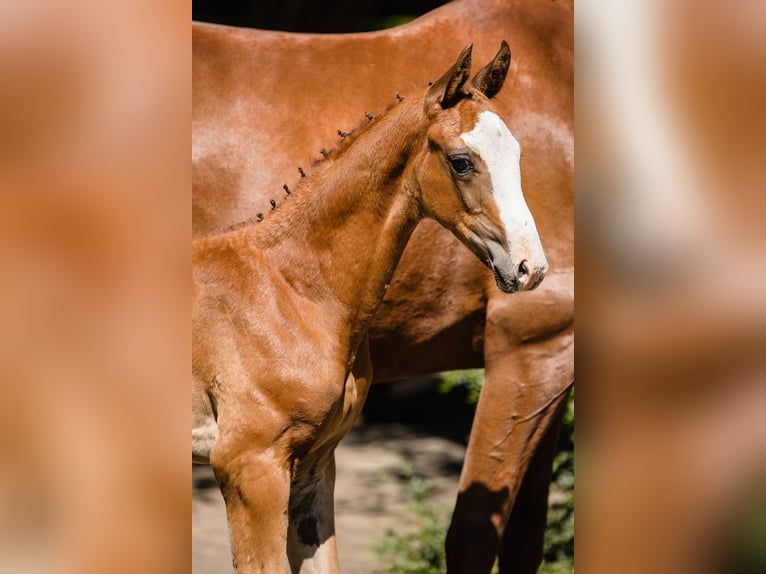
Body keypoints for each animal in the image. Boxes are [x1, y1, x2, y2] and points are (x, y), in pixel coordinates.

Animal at [195, 2, 572, 572]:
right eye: (461, 161)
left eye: (520, 155)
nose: (532, 267)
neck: (292, 289)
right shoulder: (247, 467)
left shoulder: (315, 463)